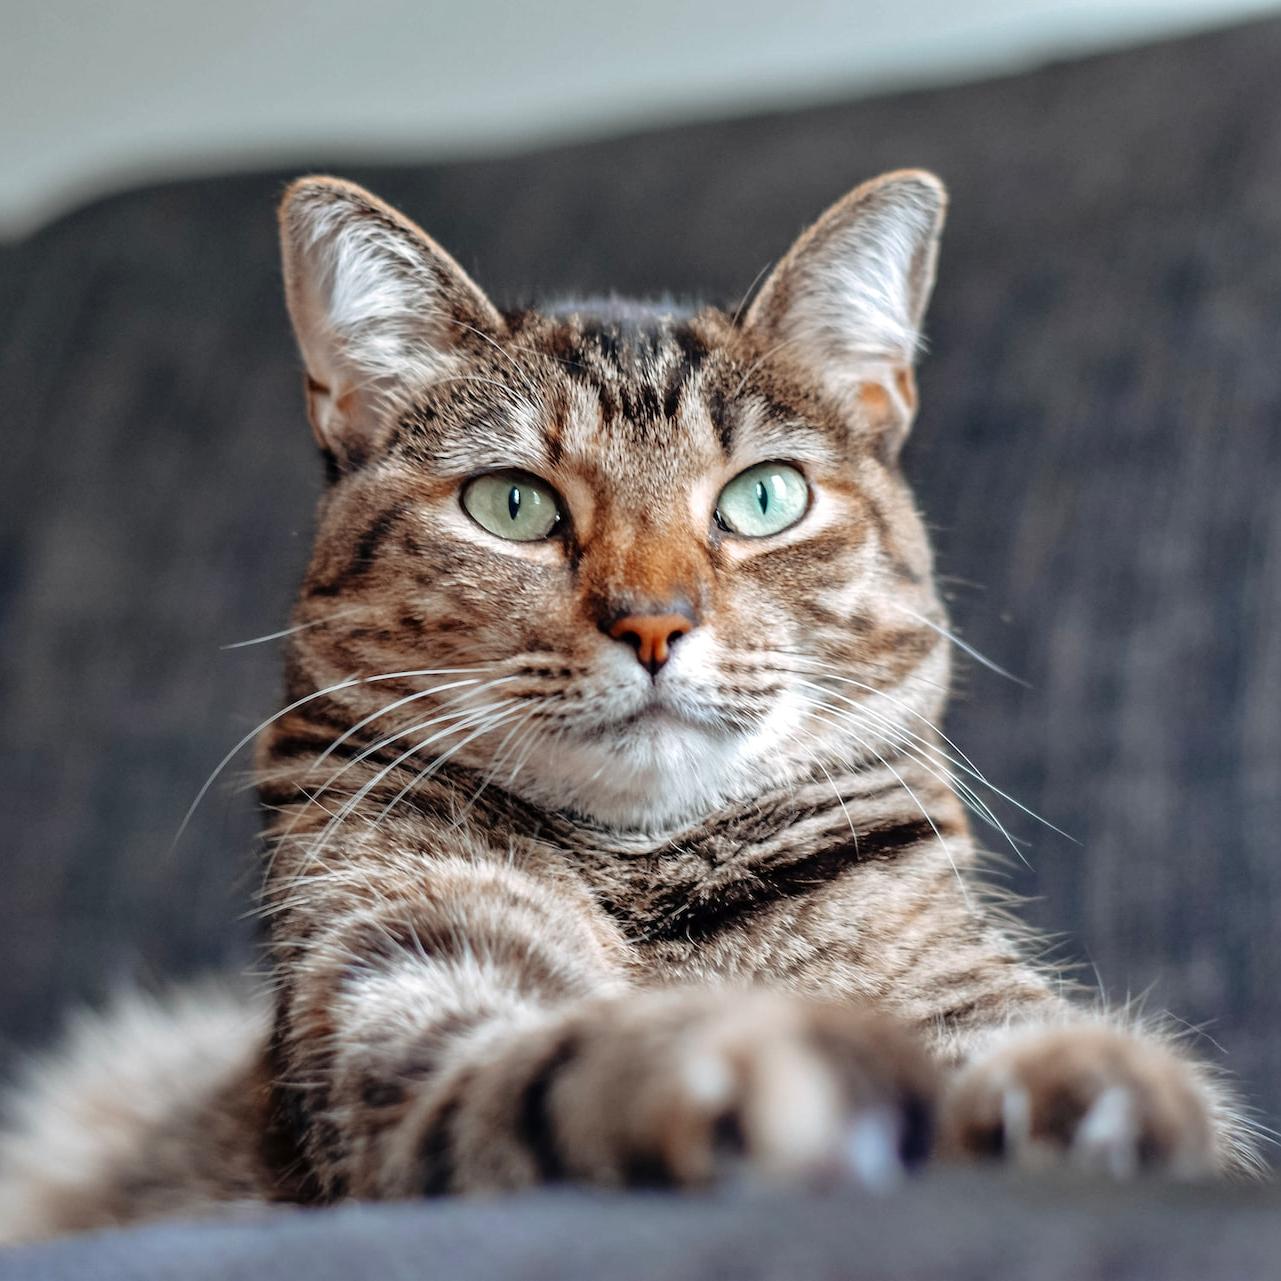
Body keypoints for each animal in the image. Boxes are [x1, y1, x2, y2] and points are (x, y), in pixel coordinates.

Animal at [0, 170, 1260, 1240]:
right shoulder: (398, 989)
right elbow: (536, 1066)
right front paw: (753, 1066)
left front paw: (1096, 1097)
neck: (650, 871)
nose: (653, 624)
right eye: (512, 504)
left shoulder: (959, 983)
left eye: (766, 498)